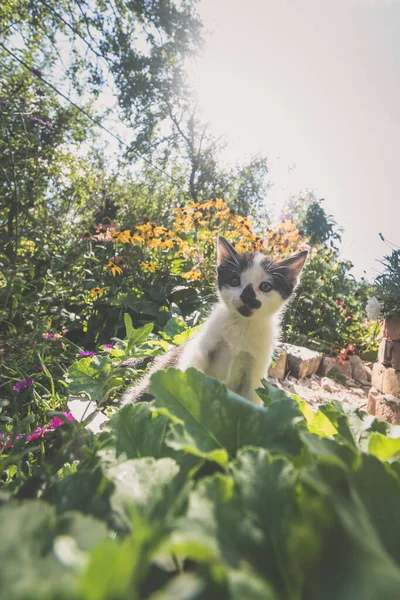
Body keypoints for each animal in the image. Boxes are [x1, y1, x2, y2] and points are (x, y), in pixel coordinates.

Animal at [122, 237, 306, 406]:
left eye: (265, 287)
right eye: (234, 281)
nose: (246, 296)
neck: (242, 325)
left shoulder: (256, 373)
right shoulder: (202, 345)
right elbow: (193, 368)